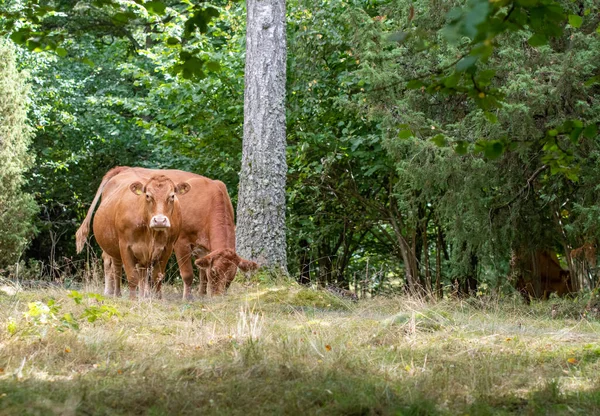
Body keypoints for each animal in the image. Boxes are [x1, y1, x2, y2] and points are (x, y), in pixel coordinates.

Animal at [74, 167, 190, 300]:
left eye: (172, 196)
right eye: (148, 195)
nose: (160, 220)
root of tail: (126, 168)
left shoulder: (167, 248)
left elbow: (157, 276)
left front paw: (158, 298)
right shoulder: (125, 246)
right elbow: (132, 276)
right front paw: (133, 299)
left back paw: (142, 296)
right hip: (112, 245)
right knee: (115, 266)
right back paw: (115, 293)